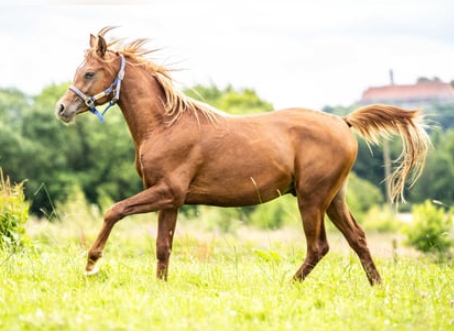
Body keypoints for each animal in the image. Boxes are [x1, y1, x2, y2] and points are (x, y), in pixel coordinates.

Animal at [55, 27, 430, 286]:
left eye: (89, 73)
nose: (62, 108)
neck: (165, 124)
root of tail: (343, 121)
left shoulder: (167, 192)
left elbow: (113, 211)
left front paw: (91, 263)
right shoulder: (171, 200)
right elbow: (163, 246)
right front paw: (160, 286)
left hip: (311, 199)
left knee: (319, 246)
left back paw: (289, 285)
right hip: (333, 198)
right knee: (358, 239)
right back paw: (377, 287)